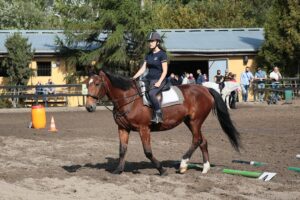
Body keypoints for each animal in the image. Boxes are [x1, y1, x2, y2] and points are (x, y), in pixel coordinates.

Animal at [85, 70, 240, 175]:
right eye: (87, 84)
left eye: (97, 84)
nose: (89, 107)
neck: (129, 99)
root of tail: (205, 89)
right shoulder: (123, 128)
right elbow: (122, 150)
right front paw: (118, 170)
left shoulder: (144, 128)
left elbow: (147, 152)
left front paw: (161, 170)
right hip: (190, 122)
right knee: (202, 140)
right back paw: (205, 167)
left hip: (195, 121)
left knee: (196, 140)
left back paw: (183, 164)